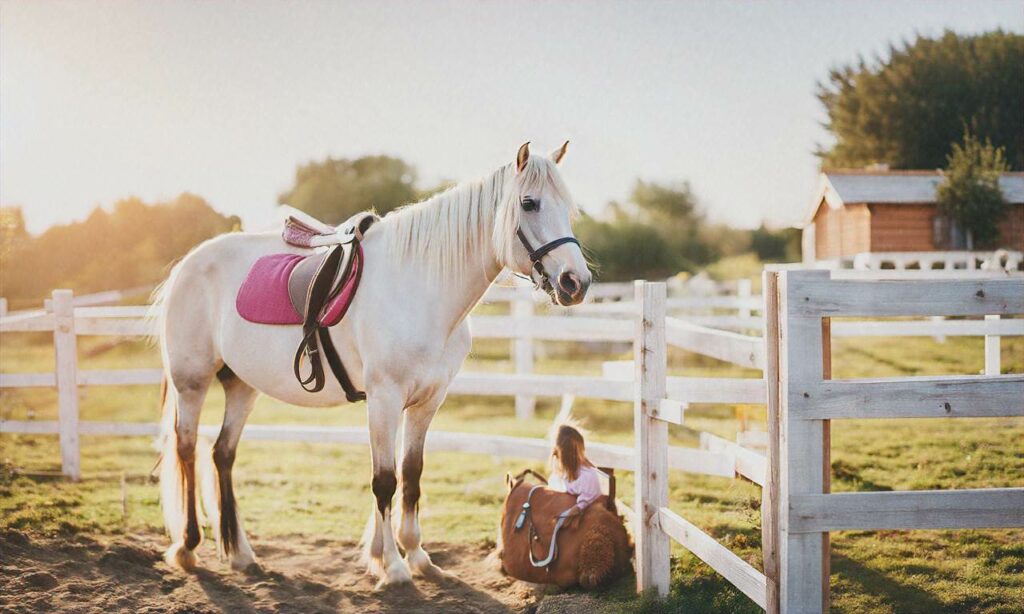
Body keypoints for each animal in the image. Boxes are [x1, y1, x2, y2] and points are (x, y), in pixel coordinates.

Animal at [155, 141, 598, 589]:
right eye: (529, 203)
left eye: (569, 208)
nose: (575, 283)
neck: (419, 287)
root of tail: (188, 264)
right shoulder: (384, 399)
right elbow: (385, 481)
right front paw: (394, 567)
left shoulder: (426, 402)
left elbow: (412, 474)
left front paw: (417, 557)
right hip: (191, 382)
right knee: (187, 449)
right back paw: (188, 547)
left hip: (242, 385)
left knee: (222, 454)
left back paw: (242, 554)